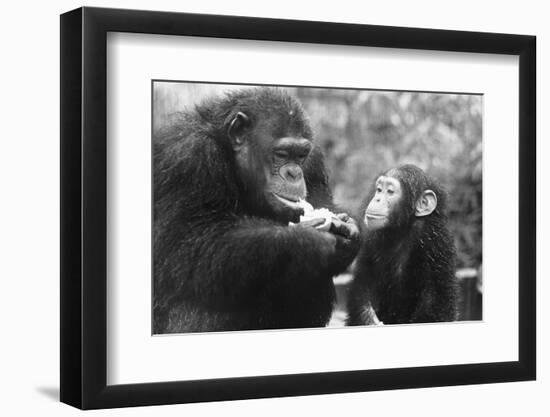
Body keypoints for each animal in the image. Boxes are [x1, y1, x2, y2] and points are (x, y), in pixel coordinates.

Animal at [153, 86, 360, 334]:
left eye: (301, 155)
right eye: (281, 154)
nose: (294, 173)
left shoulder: (315, 161)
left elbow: (321, 203)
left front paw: (348, 231)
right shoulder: (188, 158)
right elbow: (192, 247)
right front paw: (309, 241)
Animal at [350, 163, 462, 324]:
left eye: (390, 191)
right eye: (379, 190)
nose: (377, 199)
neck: (403, 229)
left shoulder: (436, 243)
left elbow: (435, 301)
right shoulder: (371, 239)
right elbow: (362, 284)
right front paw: (368, 318)